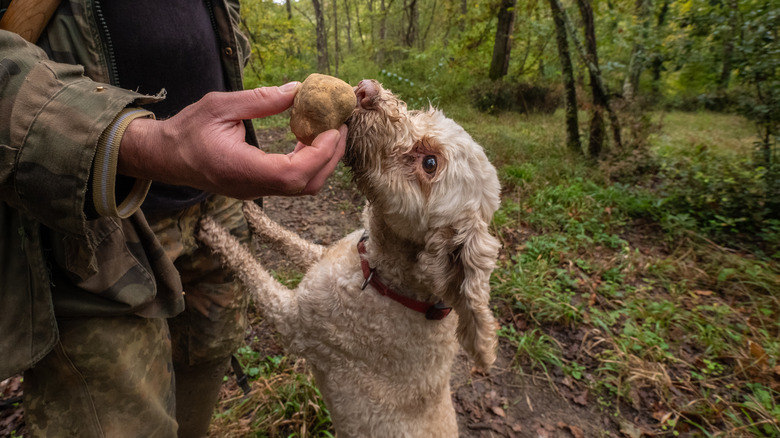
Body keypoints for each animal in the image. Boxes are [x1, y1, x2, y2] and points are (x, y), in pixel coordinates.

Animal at [198, 79, 502, 438]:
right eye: (420, 114)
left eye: (430, 163)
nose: (366, 90)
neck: (380, 277)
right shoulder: (324, 256)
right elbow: (288, 239)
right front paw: (252, 213)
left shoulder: (295, 322)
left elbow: (249, 270)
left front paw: (213, 232)